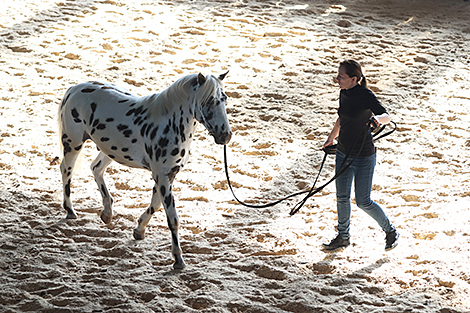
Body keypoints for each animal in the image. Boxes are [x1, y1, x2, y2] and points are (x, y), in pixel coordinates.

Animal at [58, 71, 231, 268]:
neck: (169, 123)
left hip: (110, 150)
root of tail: (74, 89)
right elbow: (173, 218)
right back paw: (70, 211)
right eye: (208, 101)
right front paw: (178, 260)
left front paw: (139, 230)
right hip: (73, 143)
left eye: (224, 99)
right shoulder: (162, 176)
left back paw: (107, 213)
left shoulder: (167, 175)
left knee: (96, 168)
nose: (225, 136)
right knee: (66, 170)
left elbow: (155, 205)